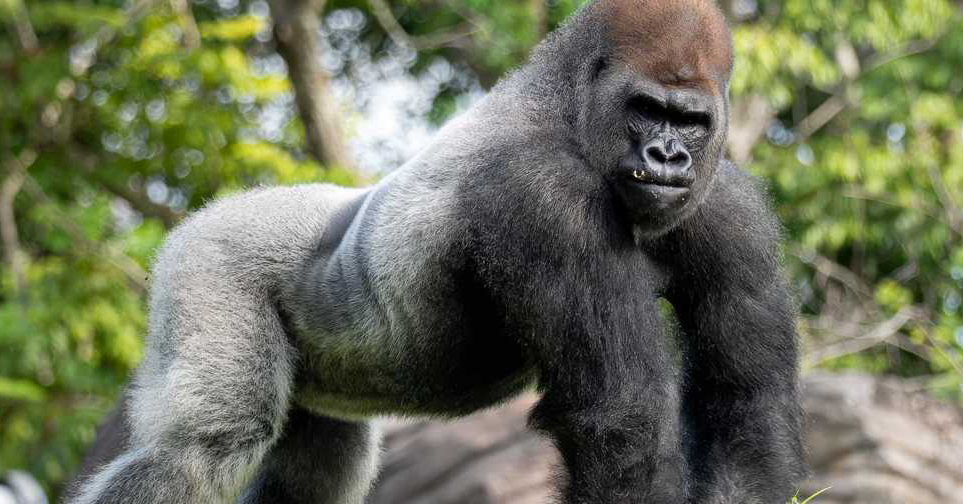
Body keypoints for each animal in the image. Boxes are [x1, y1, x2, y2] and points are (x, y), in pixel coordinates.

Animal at [66, 0, 806, 502]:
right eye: (646, 109)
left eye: (690, 120)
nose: (667, 156)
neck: (565, 103)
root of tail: (214, 211)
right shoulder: (542, 195)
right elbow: (622, 420)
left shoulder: (730, 208)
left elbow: (743, 403)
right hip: (210, 258)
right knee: (200, 450)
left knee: (316, 471)